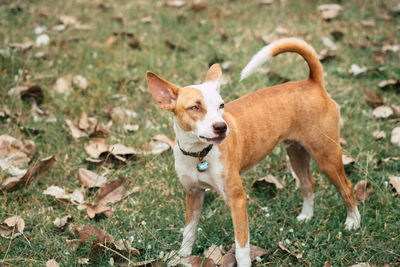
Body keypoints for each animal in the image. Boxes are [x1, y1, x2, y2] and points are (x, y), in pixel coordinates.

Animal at [145, 38, 360, 267]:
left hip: (326, 156)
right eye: (195, 107)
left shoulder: (237, 199)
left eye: (221, 105)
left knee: (346, 187)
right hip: (296, 151)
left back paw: (353, 221)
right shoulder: (193, 194)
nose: (222, 127)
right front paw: (182, 256)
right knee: (308, 182)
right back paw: (307, 216)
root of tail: (312, 82)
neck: (200, 154)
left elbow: (241, 245)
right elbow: (189, 231)